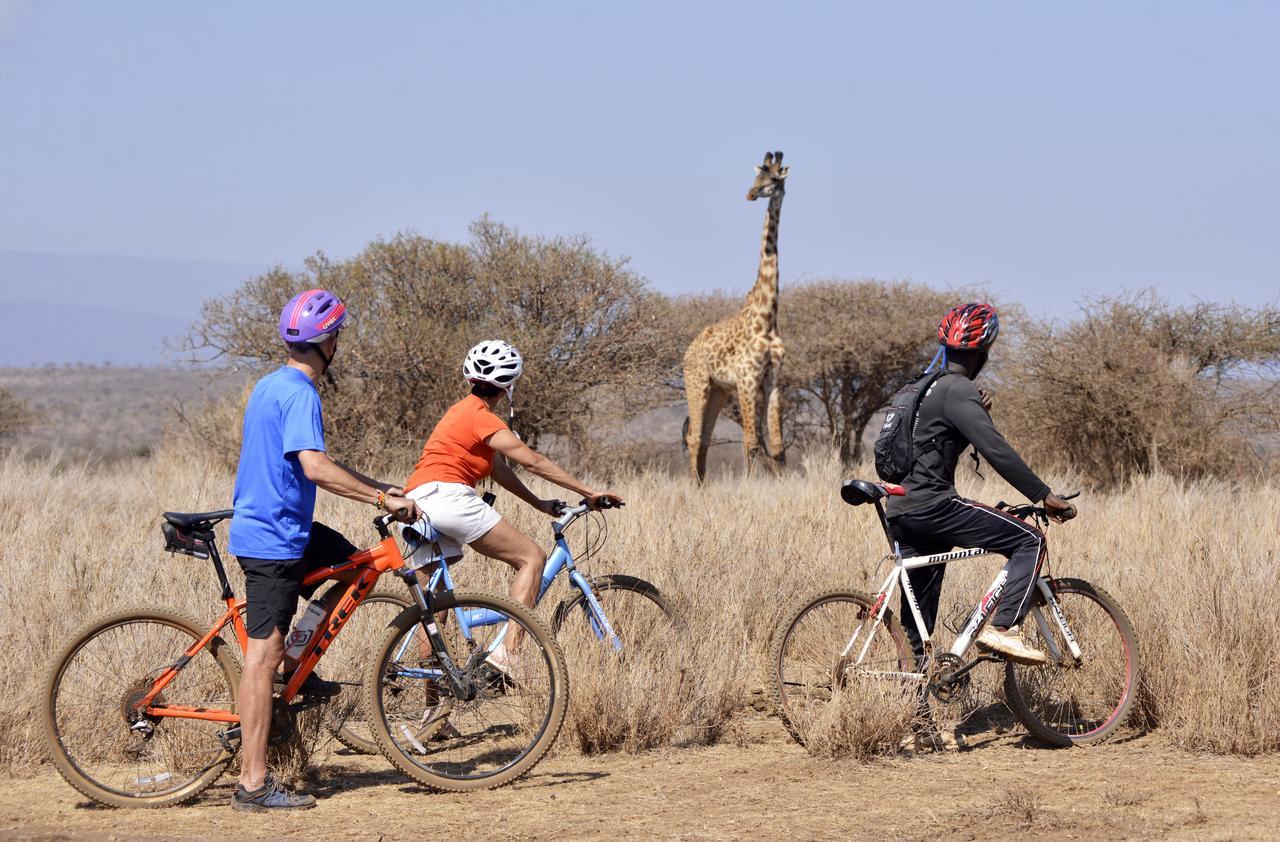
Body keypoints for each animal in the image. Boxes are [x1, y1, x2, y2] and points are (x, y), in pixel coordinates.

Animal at [686, 147, 783, 481]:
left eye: (774, 179)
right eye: (756, 177)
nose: (750, 194)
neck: (767, 317)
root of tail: (686, 353)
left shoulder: (773, 378)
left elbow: (777, 448)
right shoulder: (746, 377)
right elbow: (751, 441)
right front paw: (749, 485)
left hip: (717, 391)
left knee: (703, 437)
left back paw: (702, 485)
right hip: (698, 384)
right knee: (694, 436)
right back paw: (694, 485)